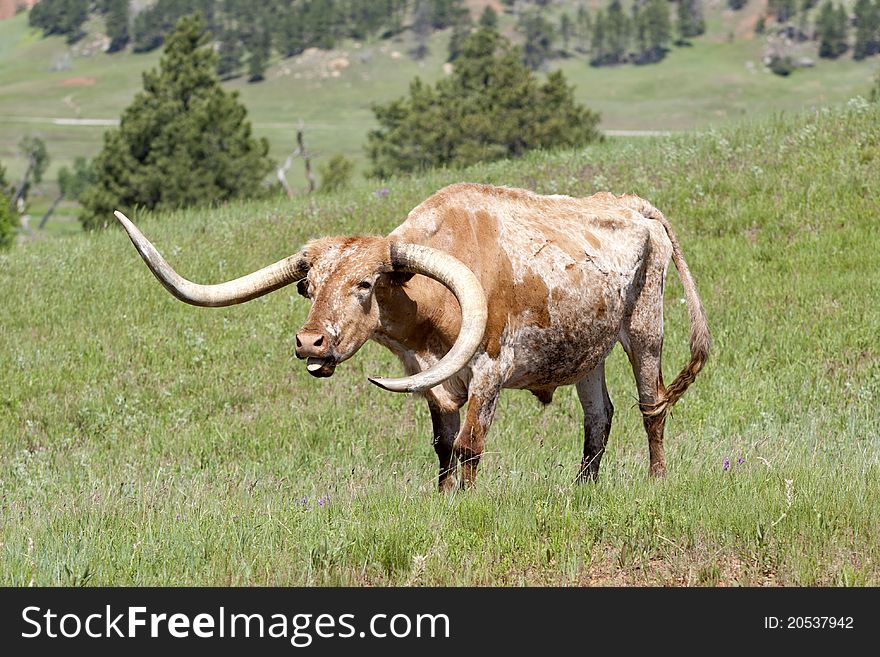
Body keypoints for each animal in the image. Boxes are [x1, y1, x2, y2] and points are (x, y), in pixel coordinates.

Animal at [115, 182, 708, 490]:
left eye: (364, 283)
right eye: (309, 287)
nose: (310, 343)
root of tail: (632, 203)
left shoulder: (489, 371)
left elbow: (470, 445)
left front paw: (468, 504)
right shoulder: (431, 381)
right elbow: (444, 448)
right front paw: (443, 502)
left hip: (645, 328)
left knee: (651, 405)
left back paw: (656, 481)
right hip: (587, 351)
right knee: (598, 417)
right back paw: (582, 491)